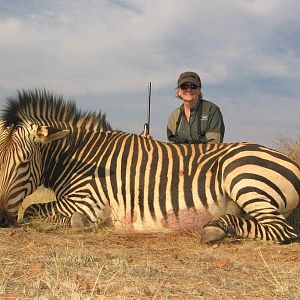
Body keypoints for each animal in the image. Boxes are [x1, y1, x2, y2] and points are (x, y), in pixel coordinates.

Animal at [0, 89, 298, 244]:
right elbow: (32, 209)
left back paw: (215, 229)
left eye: (24, 164)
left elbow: (31, 210)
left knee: (283, 231)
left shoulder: (87, 201)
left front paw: (81, 223)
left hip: (240, 177)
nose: (1, 219)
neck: (81, 156)